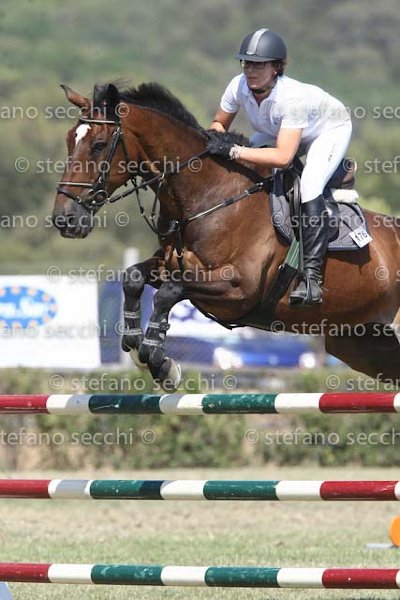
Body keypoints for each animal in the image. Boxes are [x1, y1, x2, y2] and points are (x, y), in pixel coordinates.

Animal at [52, 82, 400, 389]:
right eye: (69, 140)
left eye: (98, 146)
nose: (64, 219)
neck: (208, 196)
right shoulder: (170, 265)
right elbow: (133, 277)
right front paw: (143, 350)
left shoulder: (239, 288)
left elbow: (169, 292)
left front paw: (159, 358)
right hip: (361, 343)